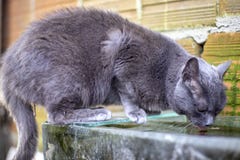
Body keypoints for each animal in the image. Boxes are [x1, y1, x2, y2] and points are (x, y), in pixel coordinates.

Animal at [0, 8, 231, 160]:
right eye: (202, 108)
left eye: (218, 111)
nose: (209, 123)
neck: (164, 72)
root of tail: (8, 68)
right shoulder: (123, 57)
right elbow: (127, 92)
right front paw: (136, 113)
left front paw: (150, 110)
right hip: (70, 79)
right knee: (55, 115)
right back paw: (97, 113)